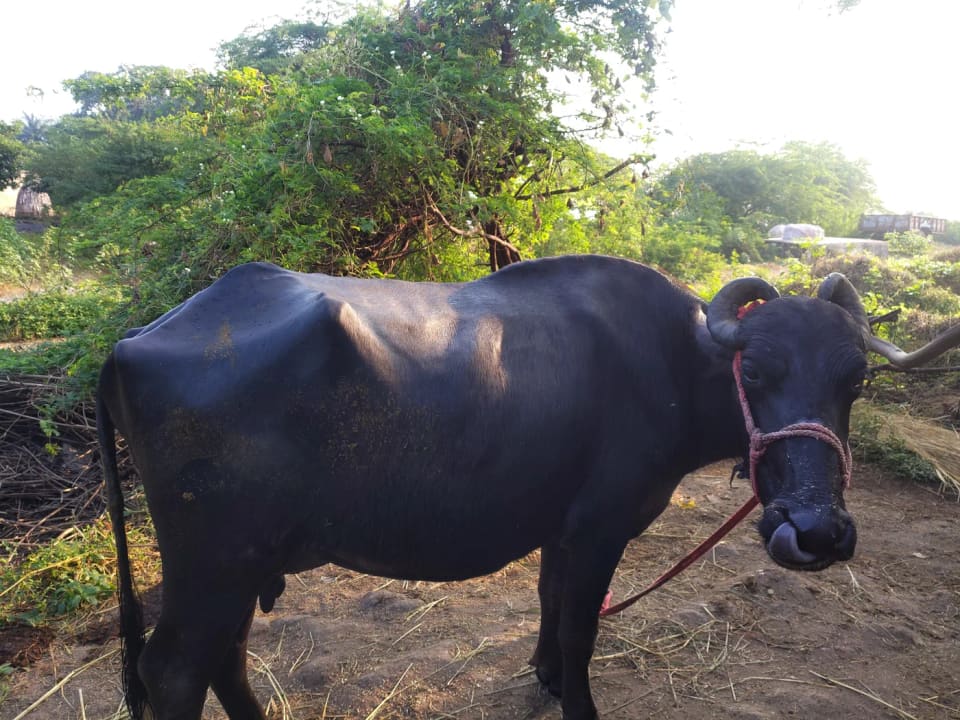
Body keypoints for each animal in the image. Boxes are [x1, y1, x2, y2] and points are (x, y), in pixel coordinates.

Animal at [98, 255, 959, 719]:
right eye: (756, 372)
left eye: (855, 380)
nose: (815, 532)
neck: (674, 365)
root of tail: (135, 341)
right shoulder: (600, 527)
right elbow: (580, 628)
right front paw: (576, 698)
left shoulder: (561, 528)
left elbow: (550, 607)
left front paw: (544, 677)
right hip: (212, 562)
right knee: (174, 670)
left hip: (243, 564)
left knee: (226, 659)